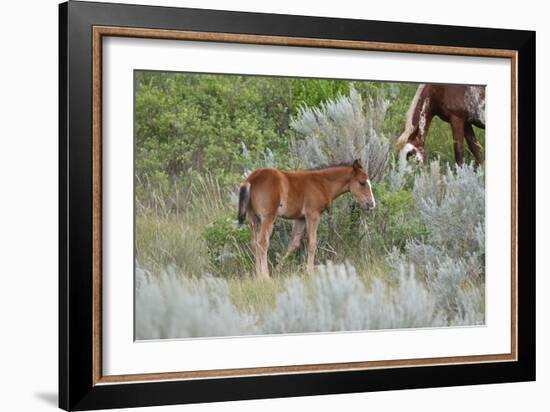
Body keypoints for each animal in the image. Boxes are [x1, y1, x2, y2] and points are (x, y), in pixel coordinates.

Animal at [239, 159, 378, 278]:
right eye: (362, 182)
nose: (371, 204)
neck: (322, 183)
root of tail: (251, 179)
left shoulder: (300, 218)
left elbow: (294, 244)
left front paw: (278, 269)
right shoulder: (313, 215)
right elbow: (312, 243)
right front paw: (310, 272)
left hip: (253, 219)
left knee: (254, 244)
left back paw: (258, 275)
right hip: (268, 218)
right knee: (262, 243)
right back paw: (265, 276)